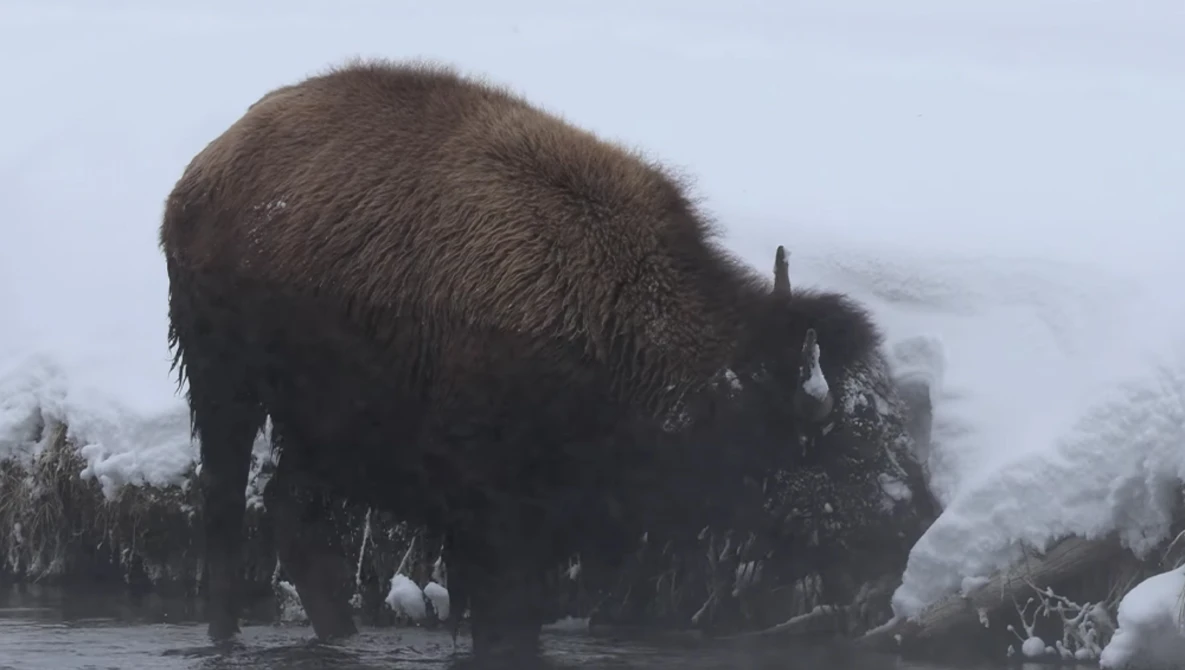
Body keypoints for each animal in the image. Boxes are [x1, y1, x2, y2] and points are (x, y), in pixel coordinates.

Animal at [159, 59, 884, 661]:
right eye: (824, 447)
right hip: (223, 385)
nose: (866, 558)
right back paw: (224, 638)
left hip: (328, 426)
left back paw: (340, 635)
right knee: (226, 508)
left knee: (292, 508)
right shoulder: (495, 525)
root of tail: (203, 172)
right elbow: (502, 616)